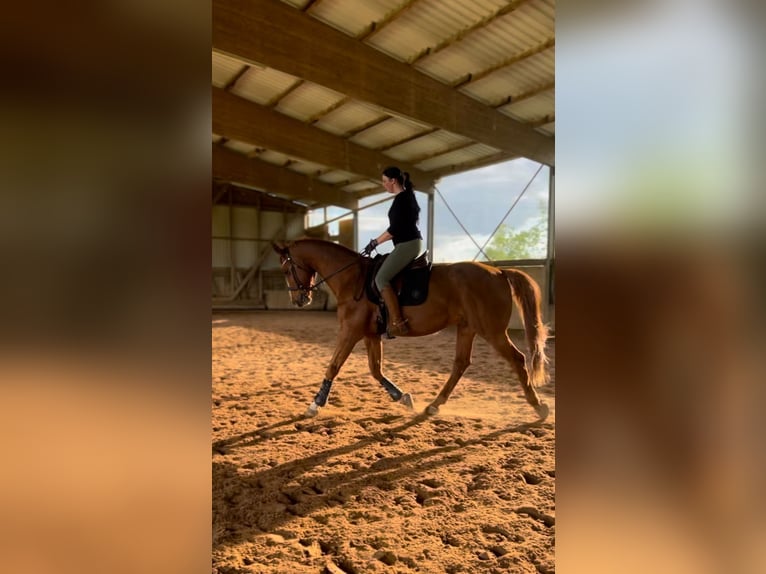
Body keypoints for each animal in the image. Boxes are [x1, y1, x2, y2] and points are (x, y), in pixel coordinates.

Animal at [272, 238, 548, 424]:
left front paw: (315, 405)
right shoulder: (370, 335)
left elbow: (334, 365)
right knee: (461, 364)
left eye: (286, 269)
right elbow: (375, 370)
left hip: (492, 331)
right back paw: (434, 406)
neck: (352, 278)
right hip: (467, 328)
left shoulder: (350, 332)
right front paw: (402, 397)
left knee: (517, 359)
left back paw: (539, 407)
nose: (300, 300)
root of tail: (499, 272)